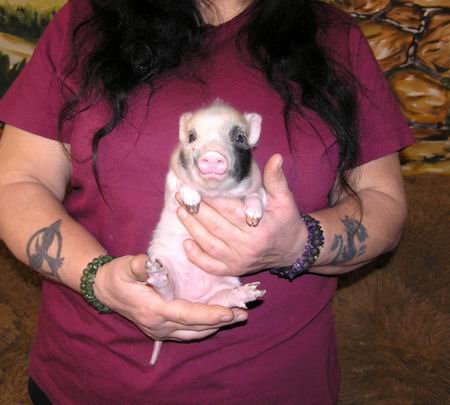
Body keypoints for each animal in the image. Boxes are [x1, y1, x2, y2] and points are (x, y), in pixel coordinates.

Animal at [146, 100, 267, 365]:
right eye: (192, 136)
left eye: (240, 137)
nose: (213, 155)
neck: (215, 192)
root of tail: (192, 298)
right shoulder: (171, 182)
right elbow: (181, 185)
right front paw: (192, 203)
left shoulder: (258, 187)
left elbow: (257, 196)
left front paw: (253, 219)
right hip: (166, 267)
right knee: (166, 294)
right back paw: (158, 274)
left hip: (221, 288)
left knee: (224, 300)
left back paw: (250, 292)